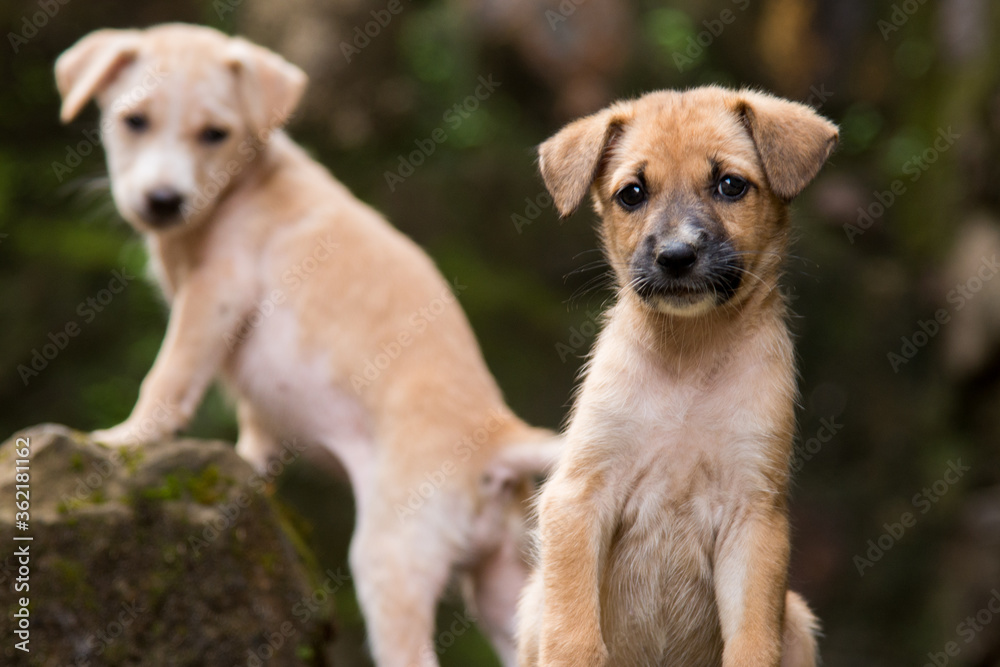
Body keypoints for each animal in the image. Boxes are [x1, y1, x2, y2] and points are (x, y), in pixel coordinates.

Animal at [54, 22, 560, 667]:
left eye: (214, 134)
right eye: (134, 121)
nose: (163, 201)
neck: (242, 185)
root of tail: (499, 437)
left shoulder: (216, 295)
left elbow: (169, 375)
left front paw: (125, 440)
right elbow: (256, 427)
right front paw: (246, 468)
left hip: (392, 563)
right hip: (503, 585)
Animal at [516, 88, 836, 667]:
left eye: (730, 185)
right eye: (632, 194)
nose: (676, 256)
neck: (689, 359)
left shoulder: (753, 518)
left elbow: (753, 640)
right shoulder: (579, 495)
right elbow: (574, 633)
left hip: (798, 621)